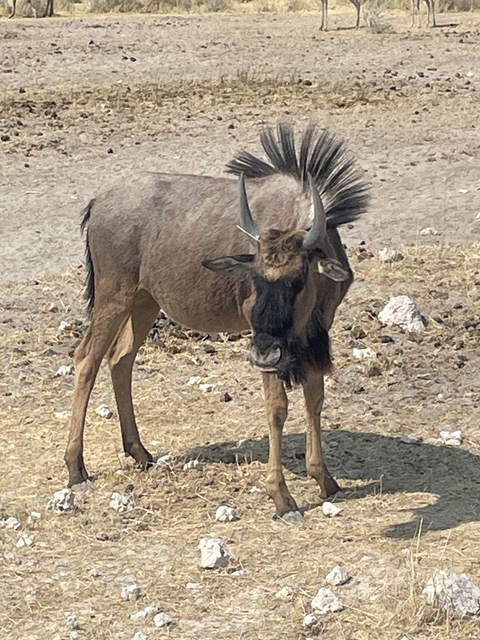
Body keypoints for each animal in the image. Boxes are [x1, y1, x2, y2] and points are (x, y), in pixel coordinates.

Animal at [65, 124, 369, 522]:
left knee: (121, 359)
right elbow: (277, 409)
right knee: (87, 358)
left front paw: (325, 479)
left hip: (145, 301)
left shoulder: (314, 334)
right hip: (113, 297)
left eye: (298, 279)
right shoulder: (270, 342)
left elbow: (314, 399)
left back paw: (140, 453)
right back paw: (76, 470)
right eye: (255, 279)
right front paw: (282, 498)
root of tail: (99, 201)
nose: (262, 356)